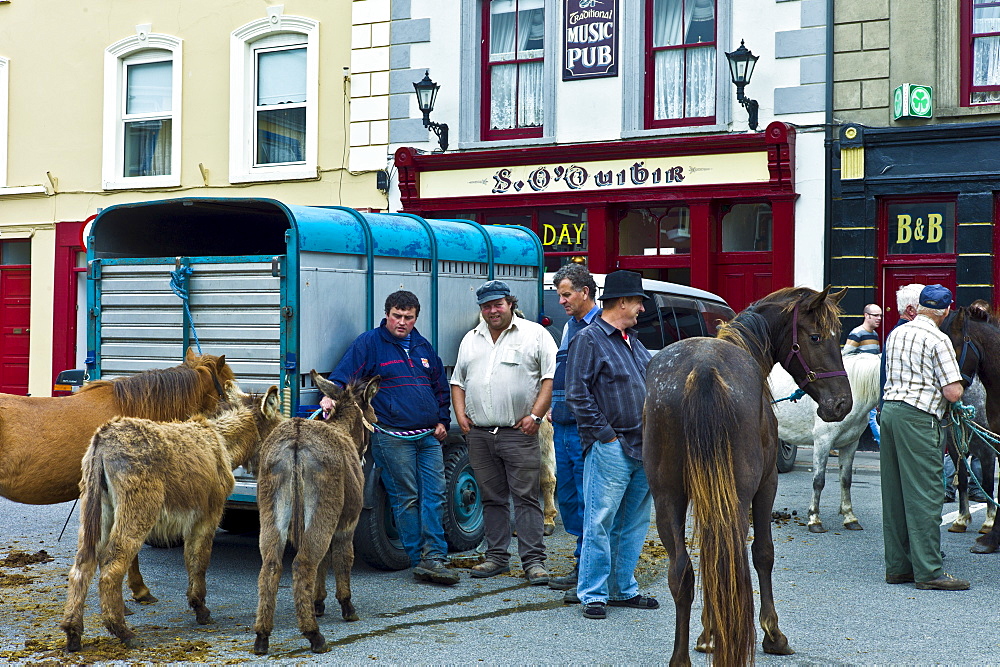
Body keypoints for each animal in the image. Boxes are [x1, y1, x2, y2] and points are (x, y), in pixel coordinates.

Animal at [60, 384, 284, 648]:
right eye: (278, 426)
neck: (221, 442)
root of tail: (102, 439)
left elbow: (192, 558)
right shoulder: (207, 516)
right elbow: (198, 560)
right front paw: (200, 609)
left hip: (97, 510)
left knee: (82, 564)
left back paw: (73, 632)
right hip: (138, 511)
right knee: (111, 567)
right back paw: (122, 631)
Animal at [256, 374, 380, 656]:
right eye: (375, 418)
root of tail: (297, 438)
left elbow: (323, 563)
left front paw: (318, 602)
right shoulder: (346, 525)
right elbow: (341, 559)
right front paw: (346, 607)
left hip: (271, 511)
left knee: (271, 565)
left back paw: (262, 636)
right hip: (322, 507)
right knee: (303, 564)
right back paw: (314, 635)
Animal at [640, 288, 852, 667]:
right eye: (817, 336)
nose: (842, 404)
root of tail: (703, 370)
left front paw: (708, 635)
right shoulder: (766, 485)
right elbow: (763, 554)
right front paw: (773, 634)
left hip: (667, 499)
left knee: (683, 573)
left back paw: (683, 656)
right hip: (737, 497)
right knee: (733, 560)